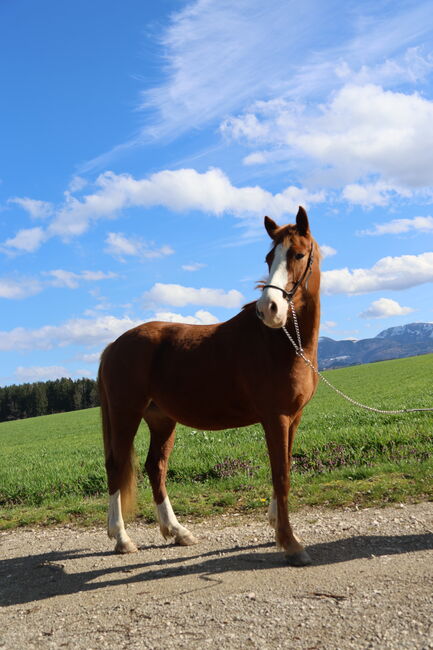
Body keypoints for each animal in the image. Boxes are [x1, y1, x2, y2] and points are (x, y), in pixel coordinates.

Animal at [98, 205, 320, 564]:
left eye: (298, 254)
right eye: (269, 257)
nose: (269, 309)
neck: (283, 343)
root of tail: (114, 346)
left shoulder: (294, 417)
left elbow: (283, 467)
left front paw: (276, 526)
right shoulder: (276, 417)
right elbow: (281, 475)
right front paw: (291, 543)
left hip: (161, 420)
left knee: (155, 467)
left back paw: (177, 531)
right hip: (125, 415)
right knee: (117, 467)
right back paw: (122, 538)